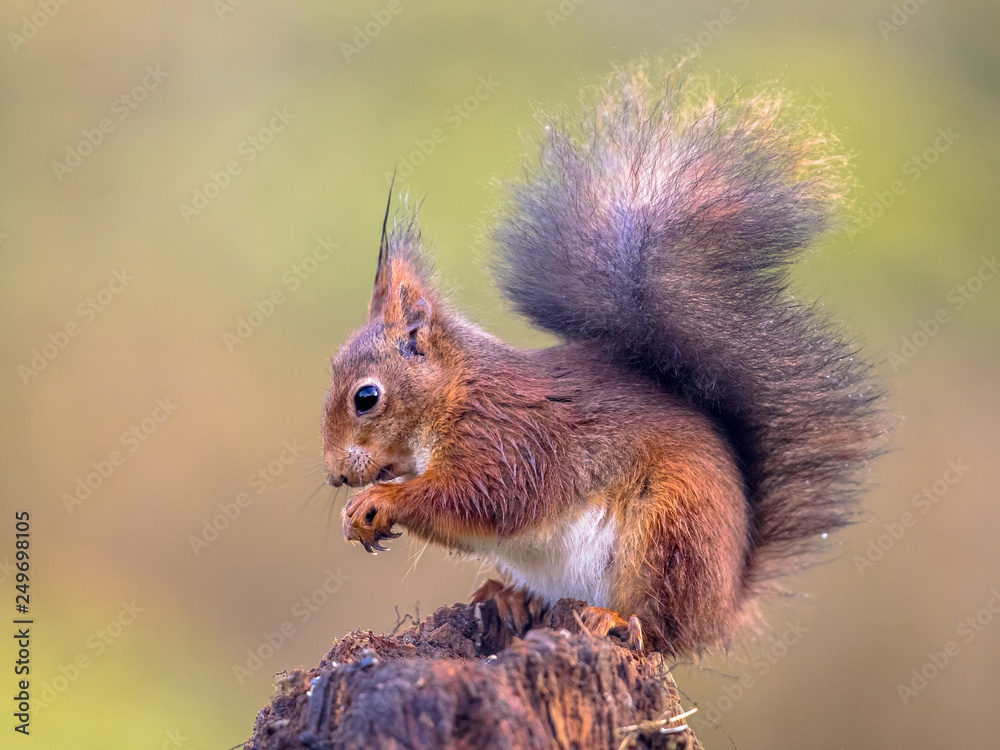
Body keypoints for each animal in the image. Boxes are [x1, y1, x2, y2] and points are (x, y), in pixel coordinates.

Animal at [318, 70, 884, 656]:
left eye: (366, 397)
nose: (336, 475)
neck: (456, 394)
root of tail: (725, 605)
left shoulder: (510, 441)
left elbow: (480, 501)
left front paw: (377, 503)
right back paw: (509, 595)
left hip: (671, 532)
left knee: (659, 628)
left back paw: (614, 619)